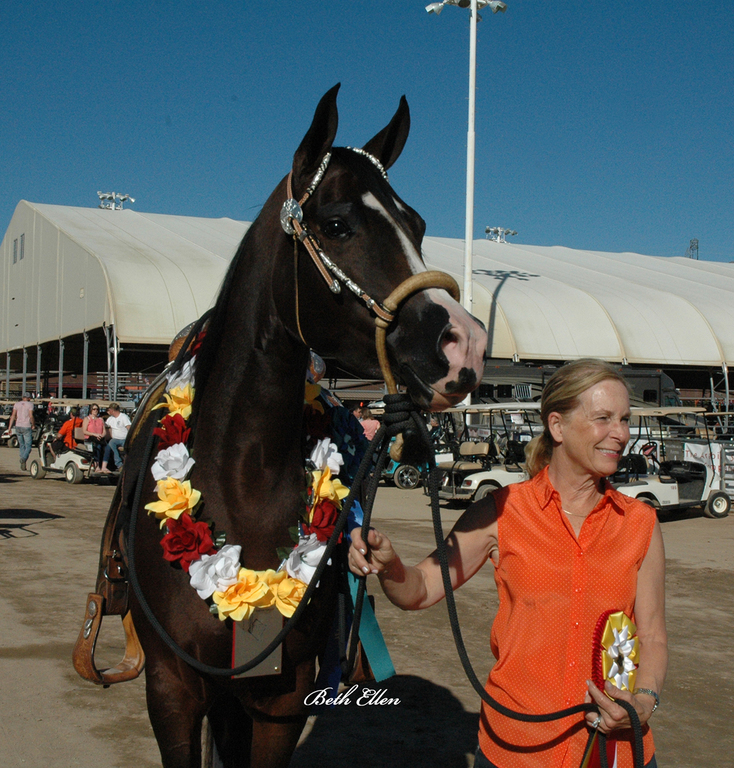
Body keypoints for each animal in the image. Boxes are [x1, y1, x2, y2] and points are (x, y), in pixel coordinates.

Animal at [104, 84, 487, 768]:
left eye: (416, 224)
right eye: (336, 223)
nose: (463, 342)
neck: (241, 481)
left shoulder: (279, 698)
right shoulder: (171, 691)